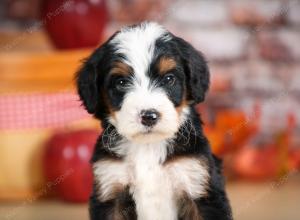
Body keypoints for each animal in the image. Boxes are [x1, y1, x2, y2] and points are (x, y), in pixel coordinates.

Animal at [77, 21, 232, 220]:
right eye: (121, 82)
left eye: (169, 78)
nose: (149, 116)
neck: (148, 147)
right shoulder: (111, 188)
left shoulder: (198, 184)